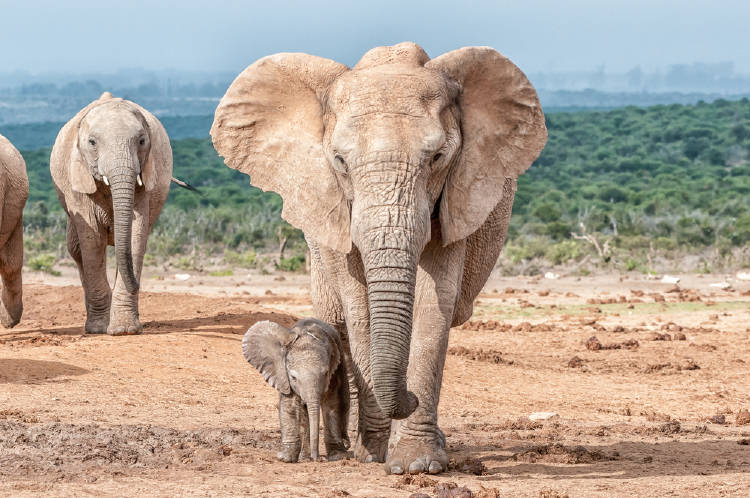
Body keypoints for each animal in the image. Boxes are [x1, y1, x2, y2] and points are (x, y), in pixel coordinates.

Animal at [50, 92, 173, 334]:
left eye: (142, 141)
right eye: (92, 142)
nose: (138, 284)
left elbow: (136, 234)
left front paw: (125, 330)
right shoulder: (78, 178)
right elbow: (92, 240)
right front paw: (99, 329)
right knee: (76, 250)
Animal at [242, 320, 352, 462]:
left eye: (326, 374)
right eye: (293, 378)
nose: (317, 459)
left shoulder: (336, 368)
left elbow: (332, 402)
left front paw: (338, 456)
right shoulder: (283, 375)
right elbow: (290, 405)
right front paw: (285, 458)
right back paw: (304, 457)